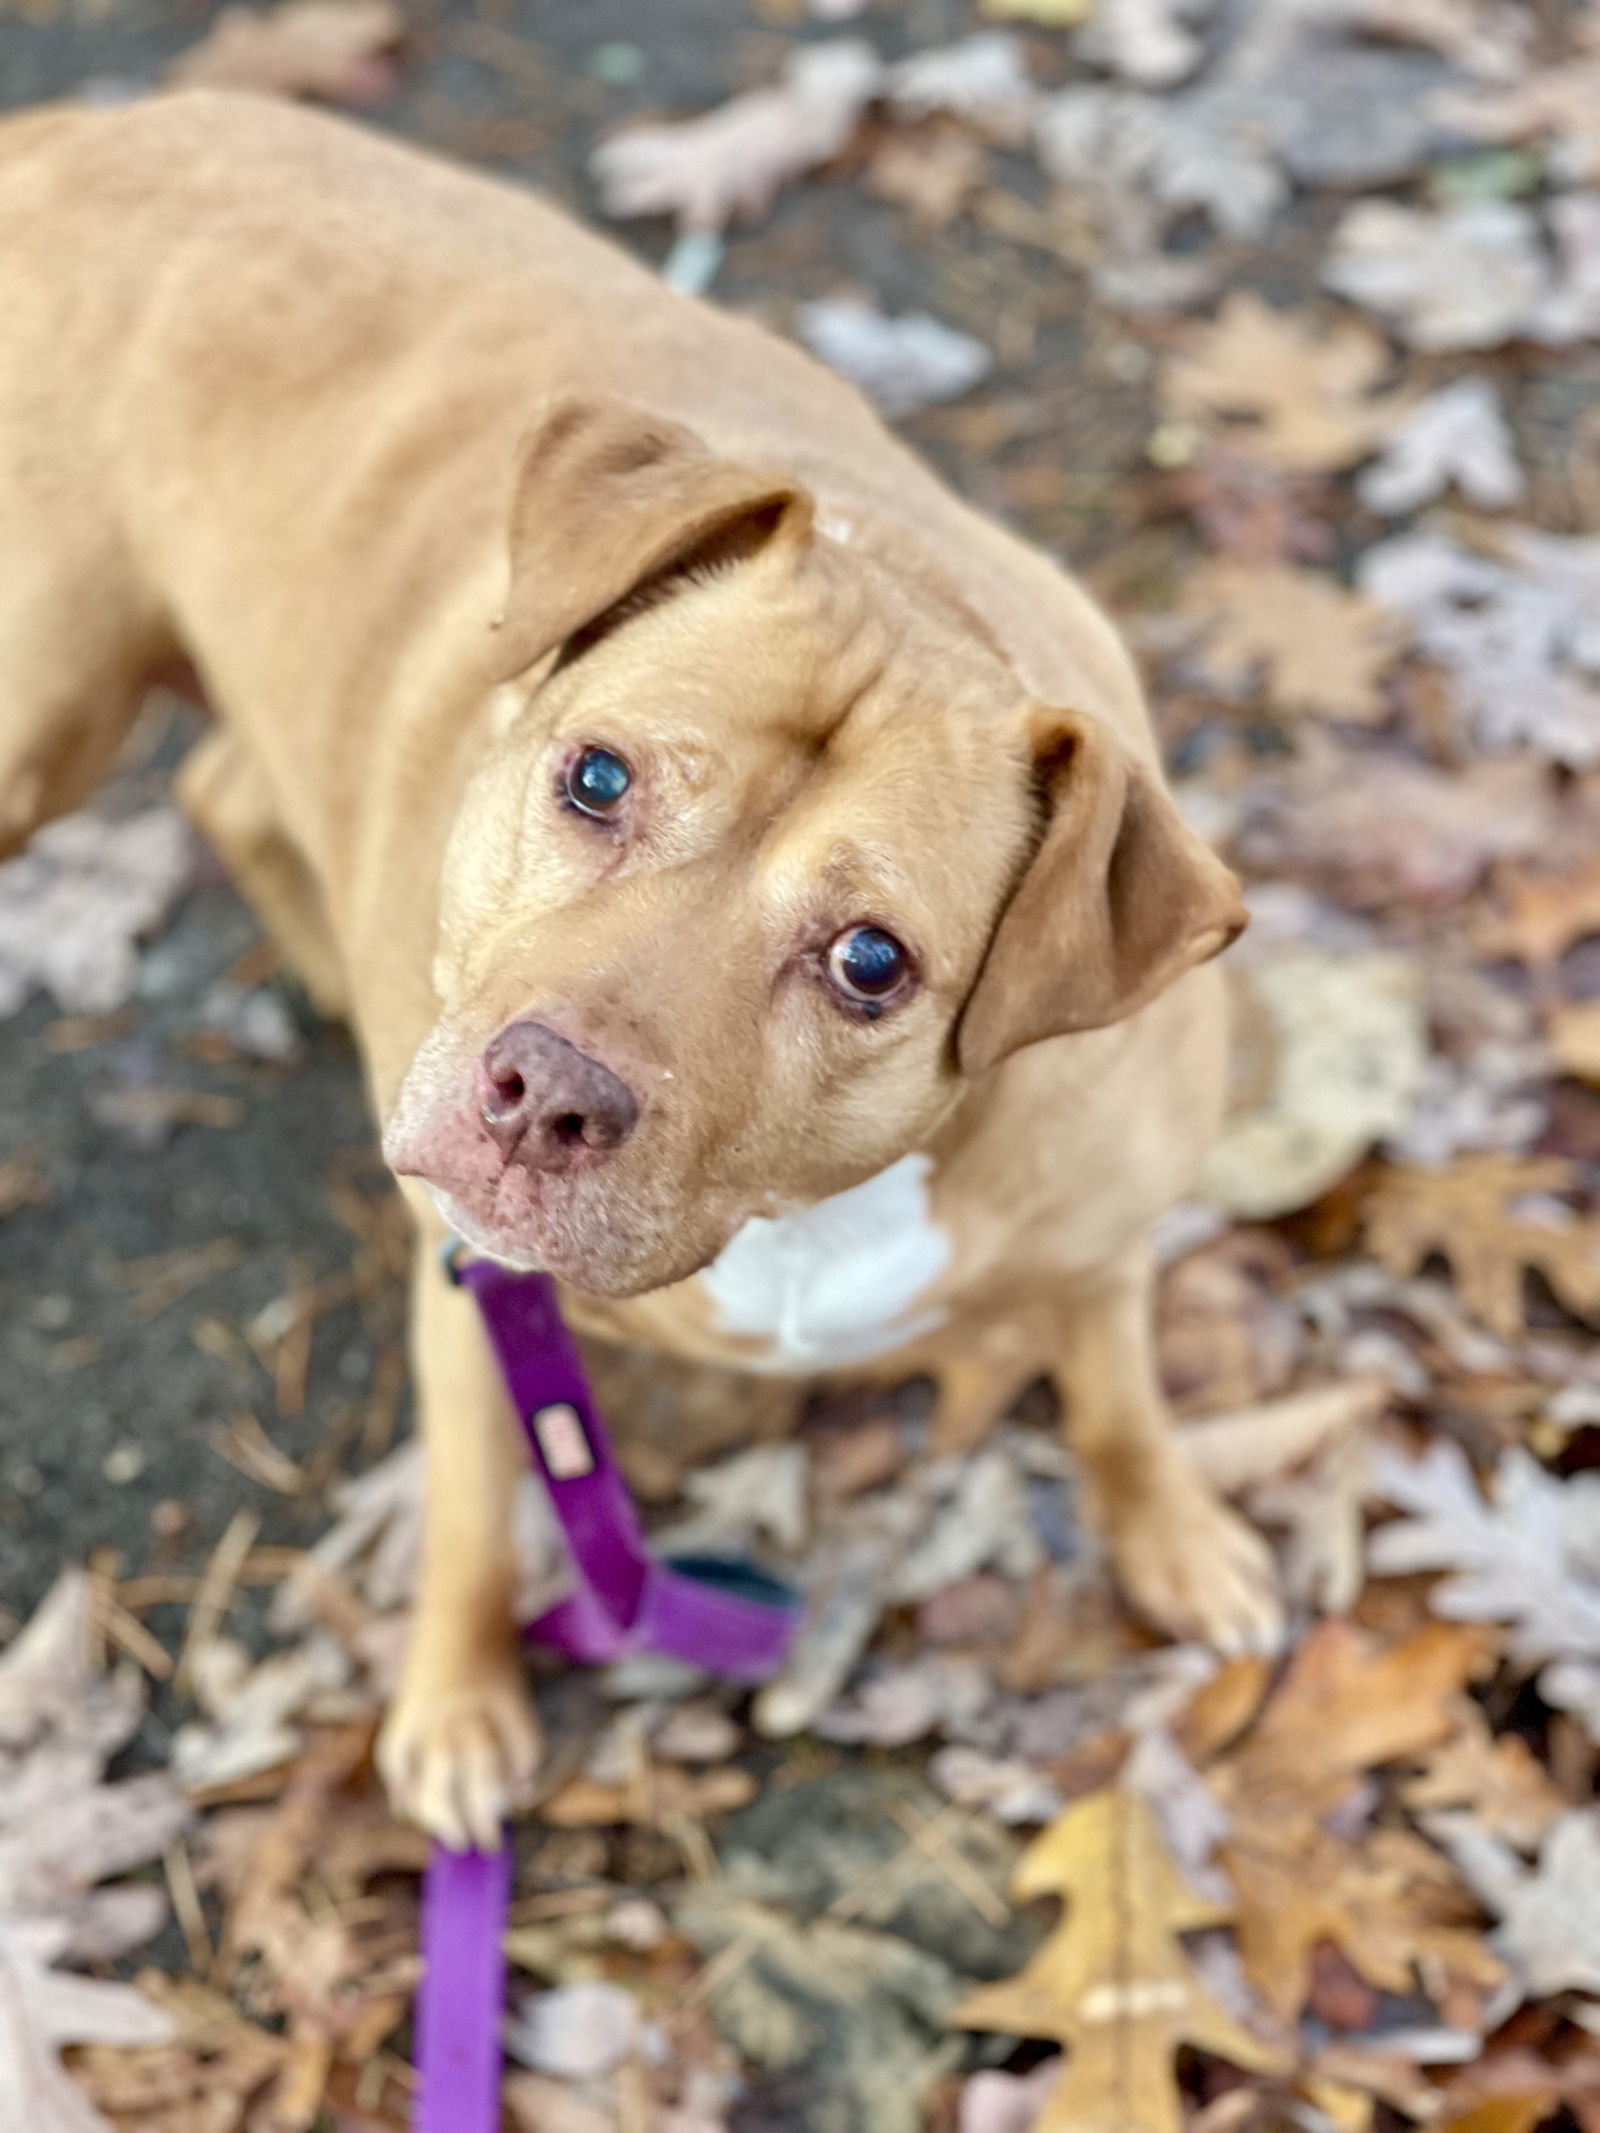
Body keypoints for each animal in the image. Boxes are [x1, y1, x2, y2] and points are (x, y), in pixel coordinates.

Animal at [0, 87, 1280, 1851]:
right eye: (596, 777)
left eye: (870, 960)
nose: (541, 1094)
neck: (805, 1207)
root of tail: (88, 120)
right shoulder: (476, 1295)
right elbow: (478, 1514)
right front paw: (456, 1707)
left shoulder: (1102, 1242)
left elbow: (1119, 1398)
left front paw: (1173, 1535)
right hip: (41, 722)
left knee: (225, 788)